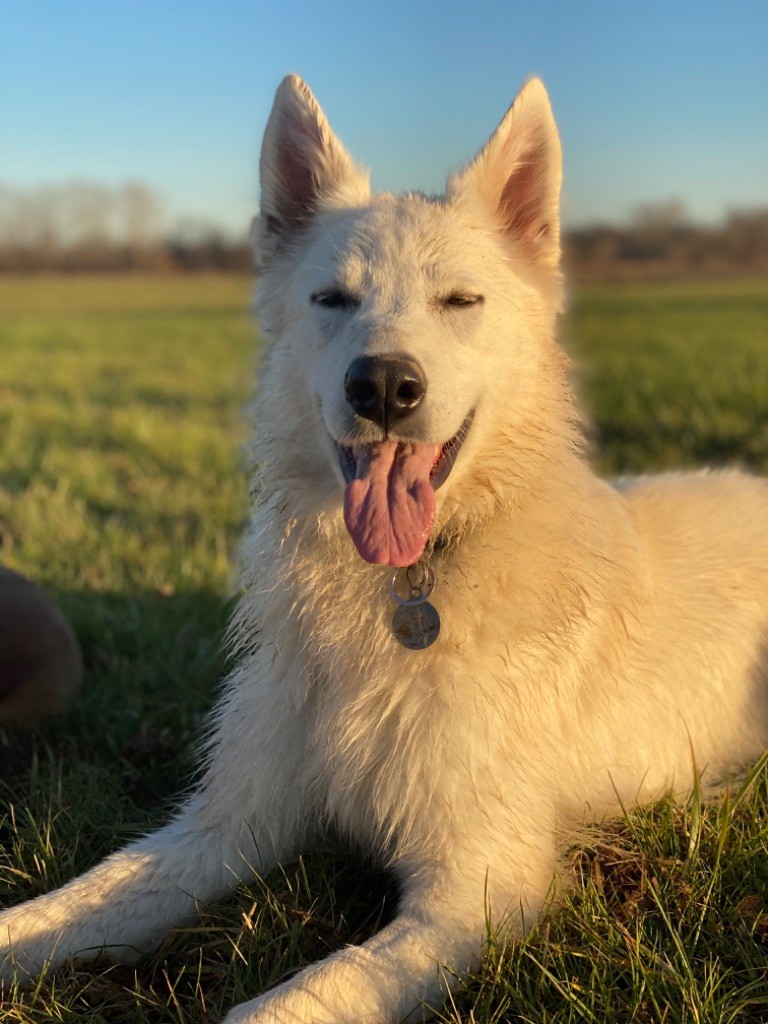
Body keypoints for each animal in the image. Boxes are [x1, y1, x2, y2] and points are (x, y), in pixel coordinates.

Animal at [1, 75, 768, 1019]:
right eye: (333, 299)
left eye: (460, 302)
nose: (385, 387)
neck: (404, 587)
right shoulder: (225, 826)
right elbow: (83, 897)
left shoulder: (478, 886)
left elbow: (307, 994)